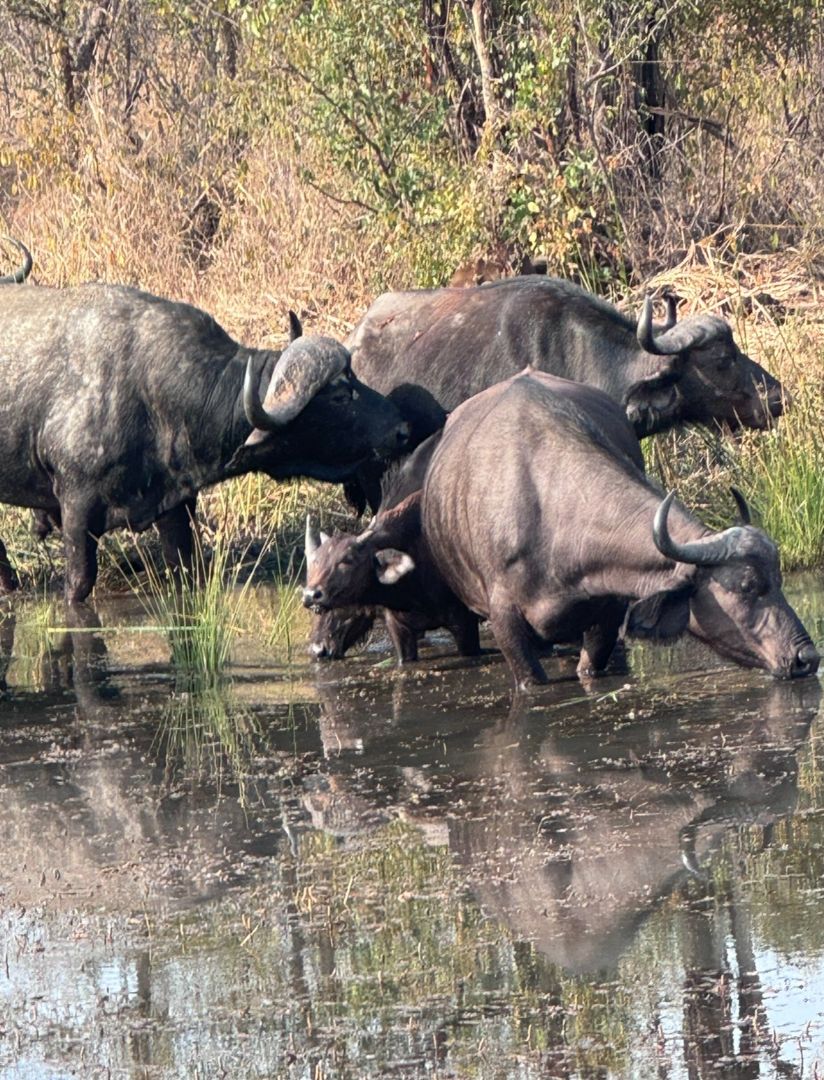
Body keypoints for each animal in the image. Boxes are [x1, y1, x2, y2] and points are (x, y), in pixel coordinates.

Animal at [0, 285, 410, 609]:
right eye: (340, 395)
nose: (402, 430)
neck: (152, 393)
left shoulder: (175, 507)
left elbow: (185, 569)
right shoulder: (76, 509)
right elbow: (79, 586)